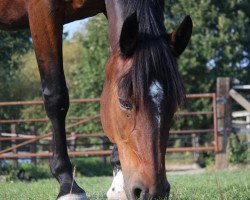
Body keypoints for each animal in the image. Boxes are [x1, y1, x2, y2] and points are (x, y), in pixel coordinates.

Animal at [0, 0, 192, 200]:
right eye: (124, 102)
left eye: (174, 106)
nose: (153, 192)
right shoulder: (42, 11)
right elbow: (56, 97)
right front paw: (68, 185)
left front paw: (118, 186)